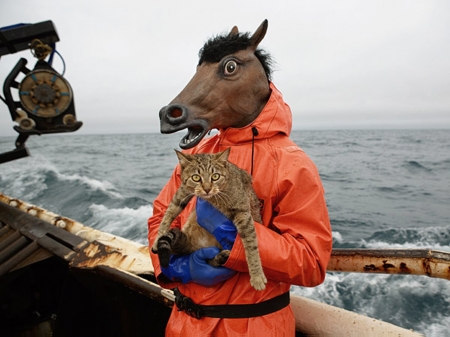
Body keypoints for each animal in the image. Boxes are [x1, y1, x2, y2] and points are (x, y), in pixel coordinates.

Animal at [154, 148, 268, 290]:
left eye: (215, 176)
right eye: (196, 177)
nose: (207, 189)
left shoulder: (243, 212)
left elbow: (251, 245)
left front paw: (257, 275)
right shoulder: (183, 191)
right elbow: (169, 212)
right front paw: (157, 238)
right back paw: (219, 258)